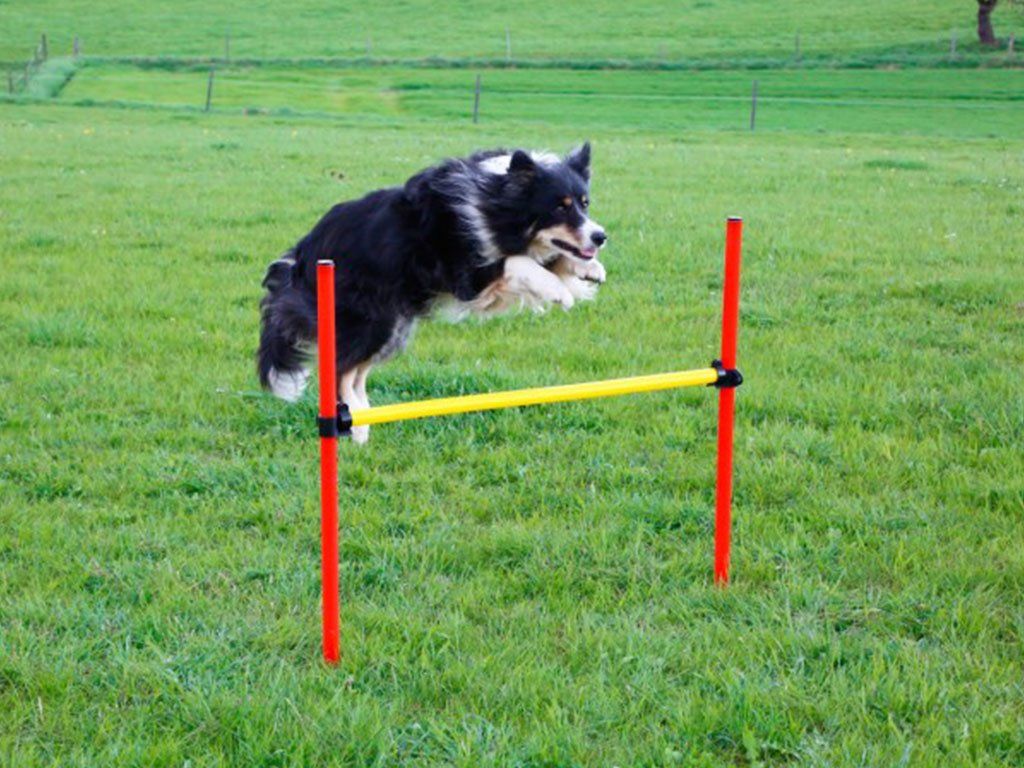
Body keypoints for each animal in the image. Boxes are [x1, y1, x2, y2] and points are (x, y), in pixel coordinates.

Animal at [257, 143, 607, 443]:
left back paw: (364, 418)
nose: (601, 236)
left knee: (356, 370)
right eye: (559, 207)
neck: (493, 200)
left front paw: (588, 270)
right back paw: (353, 422)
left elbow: (550, 258)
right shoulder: (468, 275)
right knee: (340, 368)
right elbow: (517, 261)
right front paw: (558, 289)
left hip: (393, 327)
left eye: (585, 203)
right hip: (369, 319)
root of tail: (300, 256)